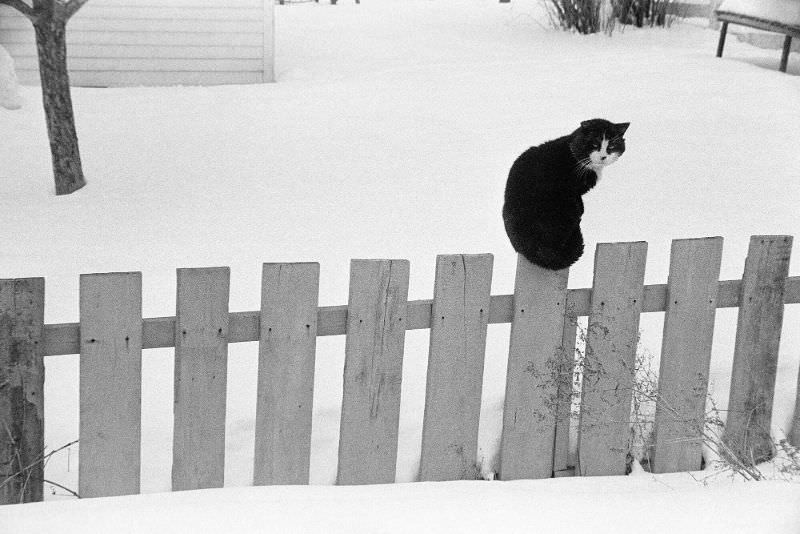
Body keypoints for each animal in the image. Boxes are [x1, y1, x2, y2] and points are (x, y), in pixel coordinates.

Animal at [504, 120, 628, 272]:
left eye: (611, 146)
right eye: (594, 145)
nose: (603, 156)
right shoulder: (574, 190)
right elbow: (579, 201)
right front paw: (582, 209)